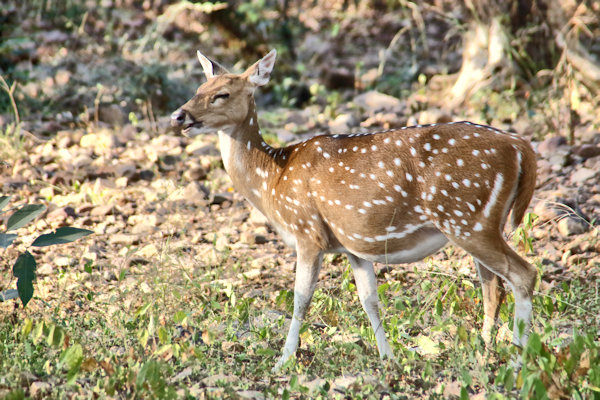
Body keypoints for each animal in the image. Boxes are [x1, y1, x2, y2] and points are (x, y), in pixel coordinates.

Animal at [170, 50, 540, 372]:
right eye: (198, 89)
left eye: (222, 94)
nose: (179, 115)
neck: (274, 181)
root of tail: (521, 147)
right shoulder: (353, 244)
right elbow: (369, 299)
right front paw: (388, 357)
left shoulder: (308, 231)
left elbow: (300, 298)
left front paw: (283, 360)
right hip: (477, 220)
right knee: (493, 287)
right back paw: (486, 352)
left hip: (466, 217)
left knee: (523, 274)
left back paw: (518, 358)